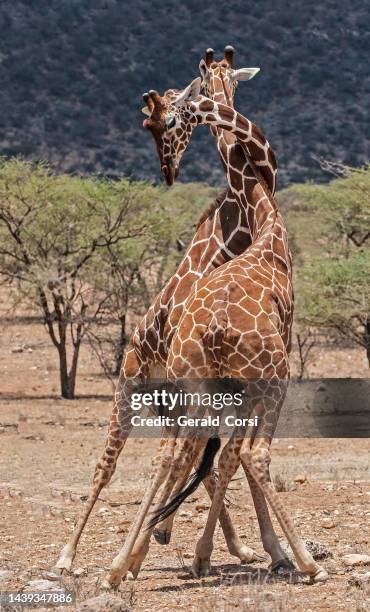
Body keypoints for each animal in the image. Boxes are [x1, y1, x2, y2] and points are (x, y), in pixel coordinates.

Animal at [102, 79, 330, 584]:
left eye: (166, 120)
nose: (167, 170)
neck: (265, 222)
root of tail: (217, 329)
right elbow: (233, 456)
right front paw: (269, 552)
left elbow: (214, 457)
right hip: (269, 379)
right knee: (245, 455)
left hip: (187, 387)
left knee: (175, 454)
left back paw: (125, 560)